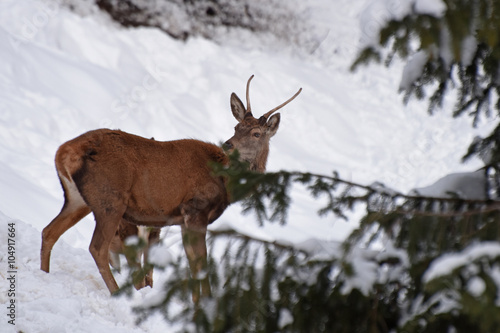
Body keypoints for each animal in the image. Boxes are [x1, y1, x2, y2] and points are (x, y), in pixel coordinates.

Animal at [40, 74, 300, 300]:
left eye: (256, 133)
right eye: (237, 128)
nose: (228, 144)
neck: (226, 183)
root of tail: (65, 151)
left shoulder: (183, 219)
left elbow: (193, 266)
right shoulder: (196, 210)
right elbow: (202, 265)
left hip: (78, 198)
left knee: (49, 231)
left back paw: (44, 273)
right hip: (111, 200)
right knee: (97, 248)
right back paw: (120, 295)